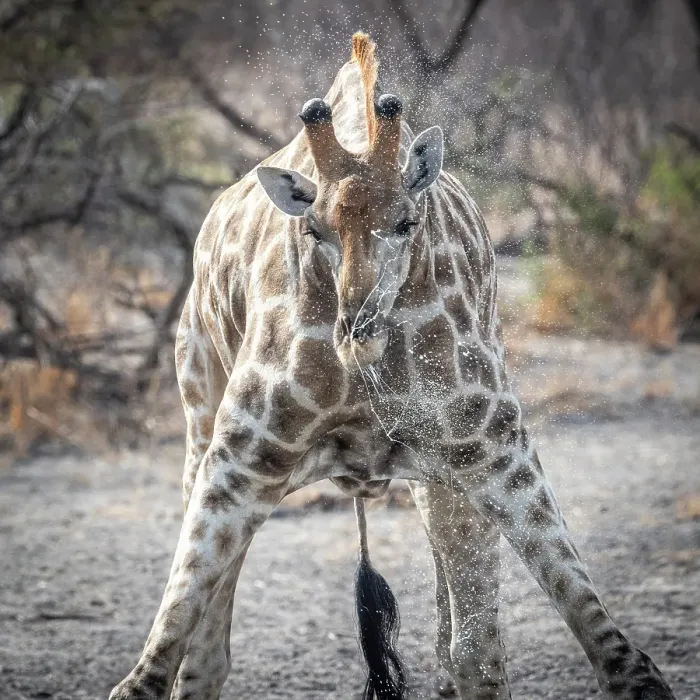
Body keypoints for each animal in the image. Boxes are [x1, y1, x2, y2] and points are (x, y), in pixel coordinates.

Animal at [109, 34, 677, 700]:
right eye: (316, 231)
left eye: (407, 221)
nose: (358, 334)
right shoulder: (238, 465)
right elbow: (158, 667)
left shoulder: (495, 454)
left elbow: (602, 657)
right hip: (199, 424)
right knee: (206, 651)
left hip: (442, 482)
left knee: (464, 644)